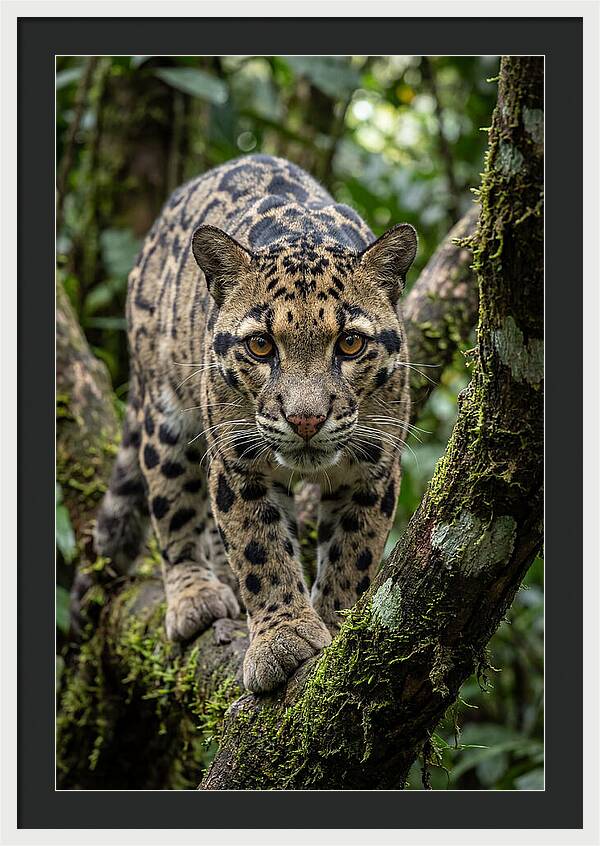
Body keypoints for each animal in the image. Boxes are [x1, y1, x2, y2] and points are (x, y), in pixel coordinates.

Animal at [94, 154, 417, 694]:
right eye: (261, 345)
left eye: (350, 343)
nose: (306, 419)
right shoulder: (238, 460)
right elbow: (259, 548)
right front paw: (283, 640)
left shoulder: (374, 465)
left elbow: (354, 551)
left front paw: (336, 625)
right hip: (165, 415)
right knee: (173, 507)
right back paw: (196, 595)